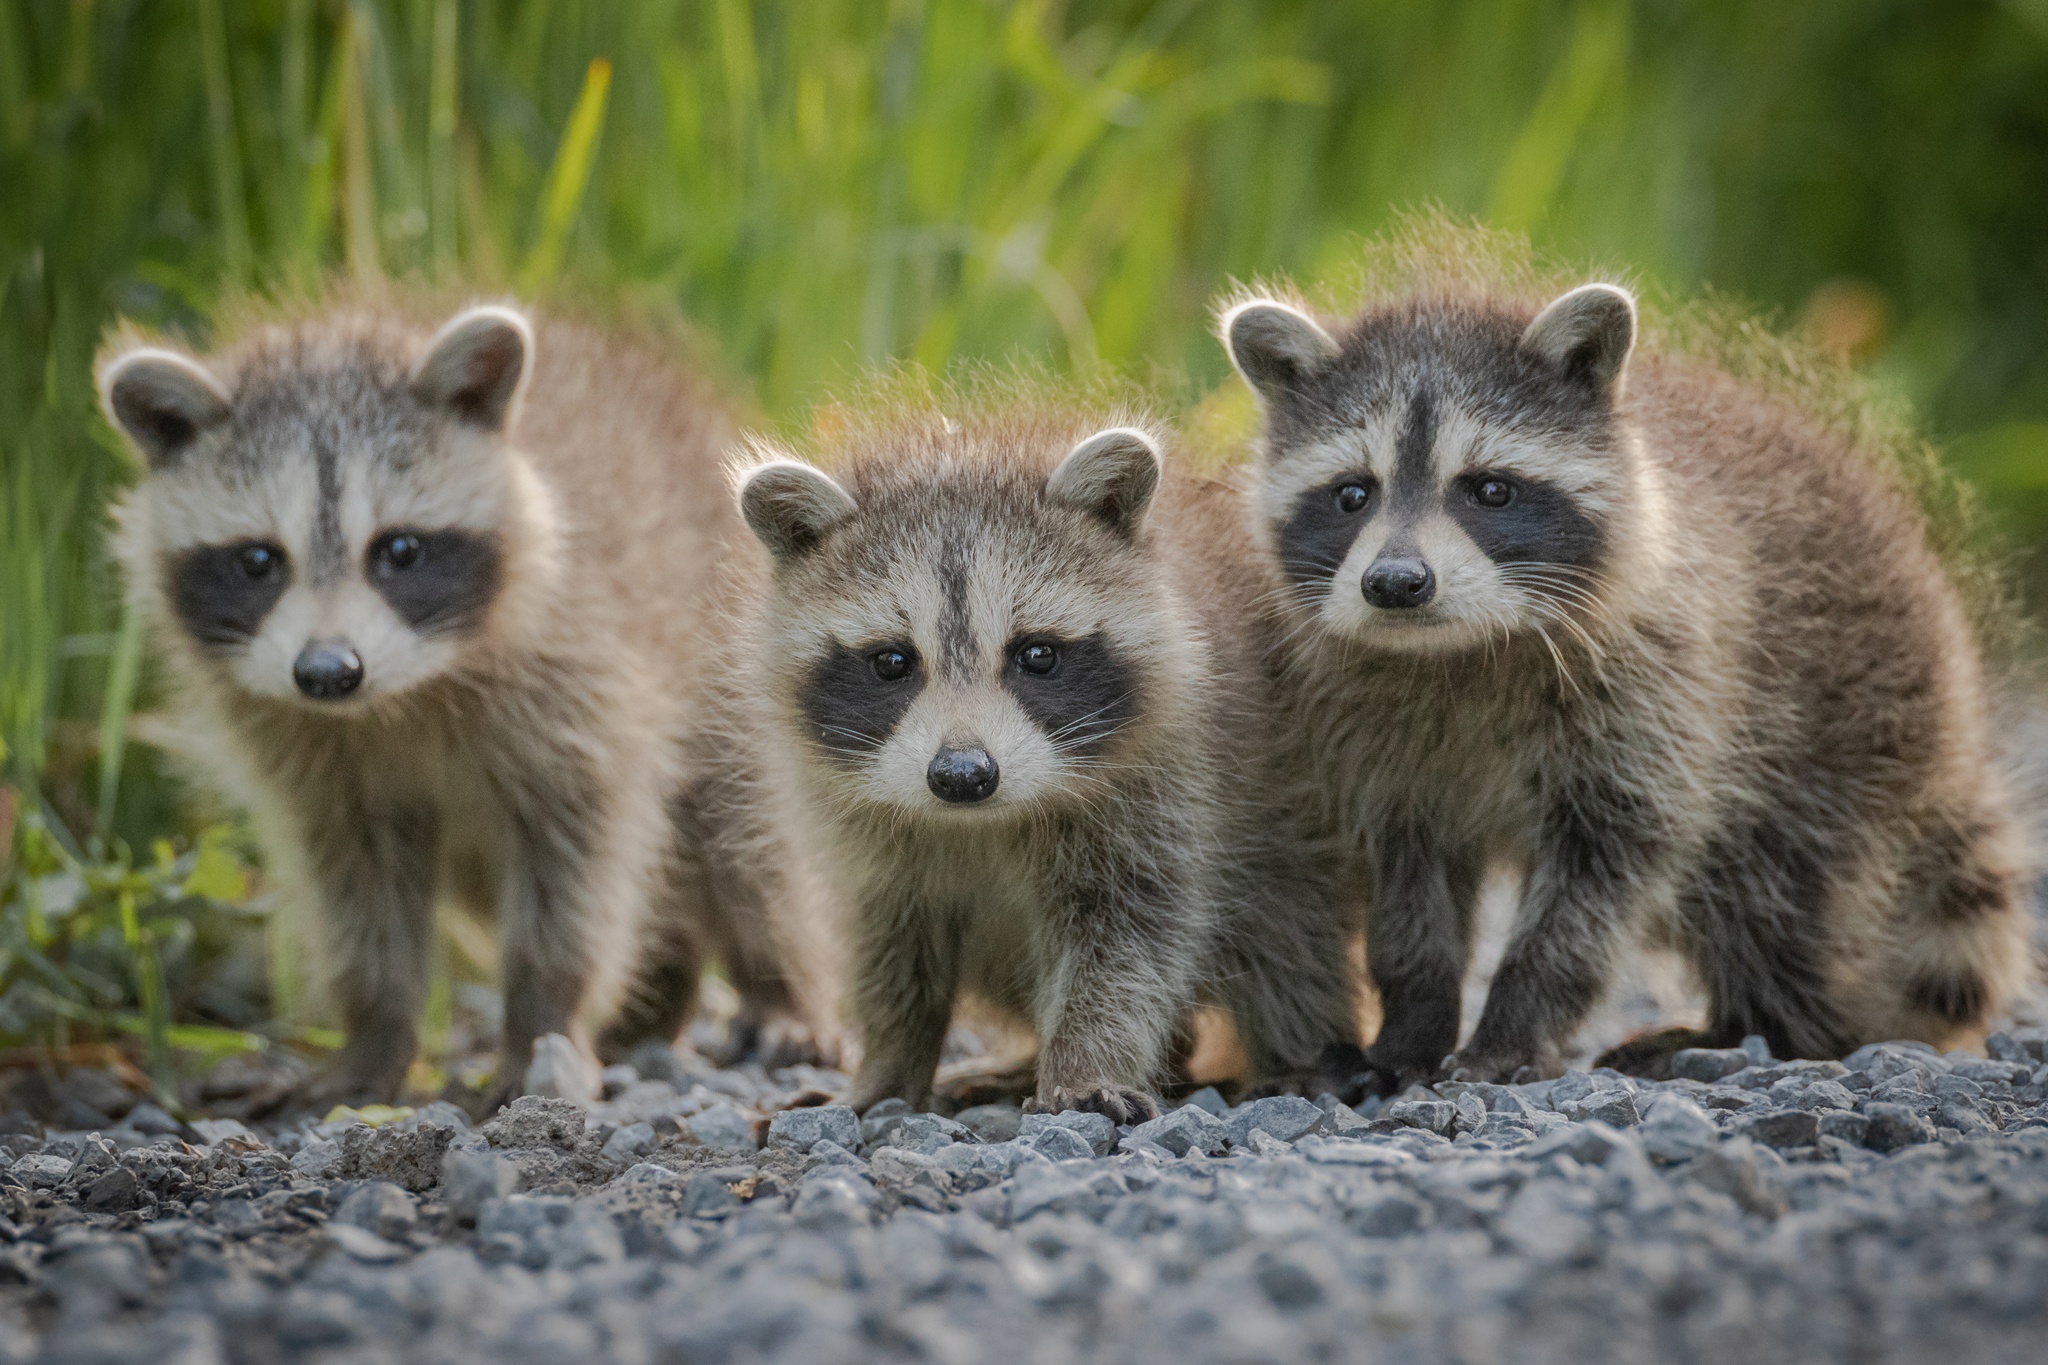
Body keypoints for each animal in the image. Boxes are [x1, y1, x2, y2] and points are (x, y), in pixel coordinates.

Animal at [96, 301, 831, 1106]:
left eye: (399, 550)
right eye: (259, 560)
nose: (327, 672)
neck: (398, 696)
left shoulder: (584, 684)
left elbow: (578, 870)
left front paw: (545, 1021)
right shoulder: (316, 762)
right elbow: (360, 896)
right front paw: (373, 1034)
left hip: (724, 677)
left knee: (749, 841)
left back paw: (779, 989)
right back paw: (657, 1004)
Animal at [729, 403, 1360, 1119]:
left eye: (1036, 655)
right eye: (892, 661)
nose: (963, 776)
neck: (981, 822)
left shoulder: (1170, 781)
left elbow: (1127, 938)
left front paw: (1085, 1065)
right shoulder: (861, 829)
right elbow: (891, 946)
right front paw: (885, 1069)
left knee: (1288, 938)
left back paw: (1302, 1054)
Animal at [1220, 282, 2032, 1085]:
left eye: (1490, 490)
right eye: (1352, 494)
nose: (1395, 583)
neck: (1460, 649)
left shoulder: (1661, 682)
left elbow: (1600, 876)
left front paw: (1515, 1022)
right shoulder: (1373, 738)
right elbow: (1409, 880)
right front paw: (1413, 1021)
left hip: (1846, 725)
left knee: (1784, 896)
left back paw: (1761, 1026)